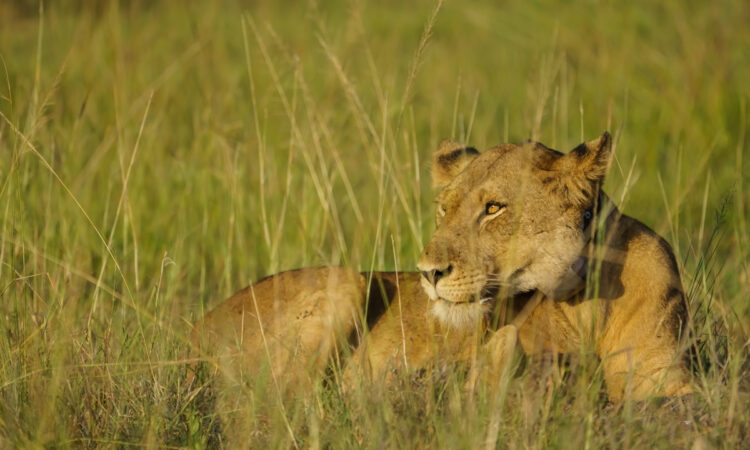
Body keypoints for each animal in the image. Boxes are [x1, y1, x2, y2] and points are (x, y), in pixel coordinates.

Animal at [191, 132, 692, 401]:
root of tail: (195, 326)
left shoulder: (669, 383)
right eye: (443, 210)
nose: (428, 272)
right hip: (345, 281)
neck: (584, 300)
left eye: (493, 208)